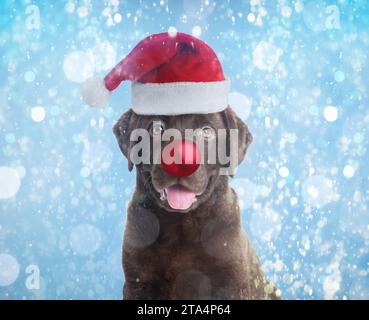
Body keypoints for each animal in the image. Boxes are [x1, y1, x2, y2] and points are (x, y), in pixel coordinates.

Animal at [113, 105, 278, 300]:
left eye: (206, 131)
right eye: (157, 128)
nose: (180, 161)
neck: (180, 225)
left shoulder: (231, 285)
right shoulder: (138, 281)